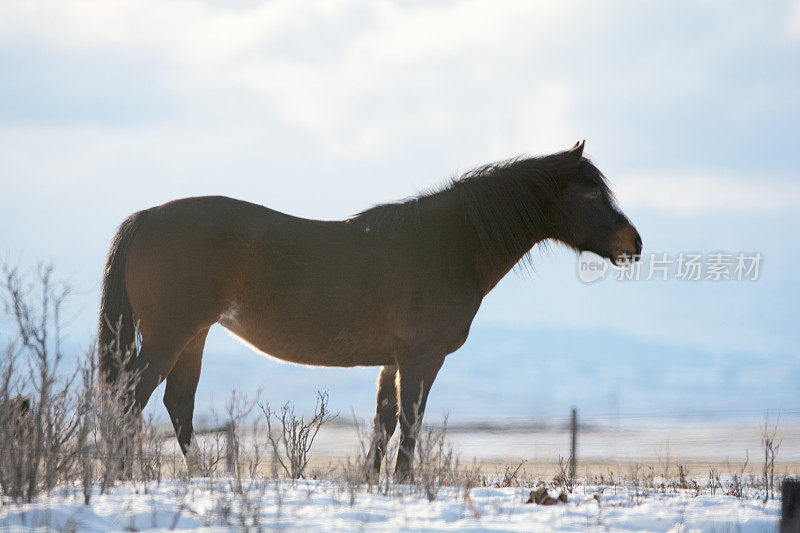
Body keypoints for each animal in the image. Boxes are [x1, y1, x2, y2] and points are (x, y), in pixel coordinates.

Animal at [95, 142, 644, 478]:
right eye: (589, 190)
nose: (633, 243)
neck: (446, 242)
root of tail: (146, 218)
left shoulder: (392, 361)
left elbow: (384, 424)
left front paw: (371, 484)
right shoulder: (422, 357)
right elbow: (411, 422)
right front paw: (402, 485)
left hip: (194, 335)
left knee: (176, 405)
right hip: (169, 337)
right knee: (130, 402)